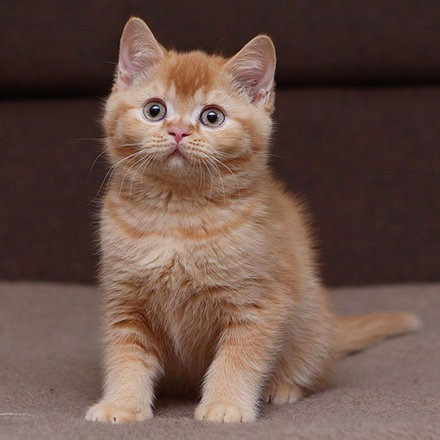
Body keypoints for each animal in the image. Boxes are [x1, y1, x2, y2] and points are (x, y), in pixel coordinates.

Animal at [85, 17, 420, 422]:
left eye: (212, 117)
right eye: (154, 110)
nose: (179, 131)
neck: (179, 216)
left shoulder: (258, 305)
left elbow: (237, 359)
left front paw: (225, 404)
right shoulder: (125, 302)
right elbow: (126, 356)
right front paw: (121, 404)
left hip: (309, 325)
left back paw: (284, 387)